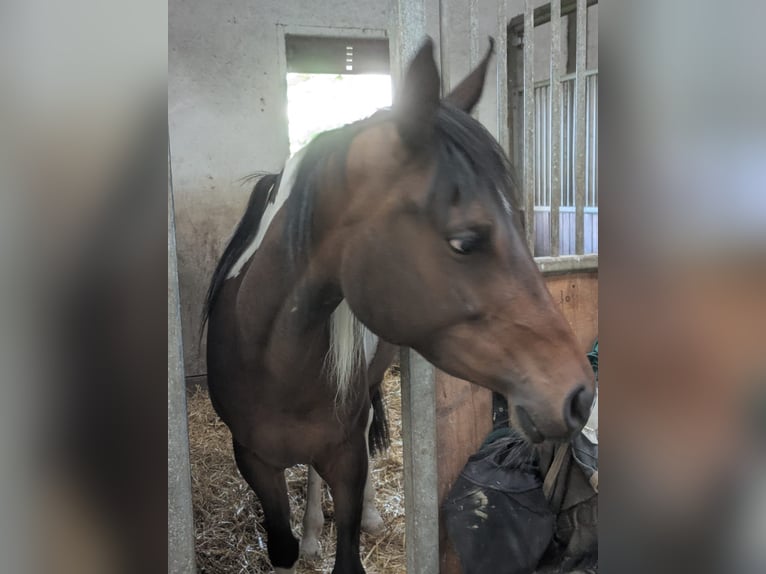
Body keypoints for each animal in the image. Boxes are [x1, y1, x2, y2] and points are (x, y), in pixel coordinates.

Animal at [203, 37, 595, 574]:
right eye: (465, 241)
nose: (580, 395)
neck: (269, 356)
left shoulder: (345, 453)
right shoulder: (253, 460)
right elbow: (281, 546)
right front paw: (305, 541)